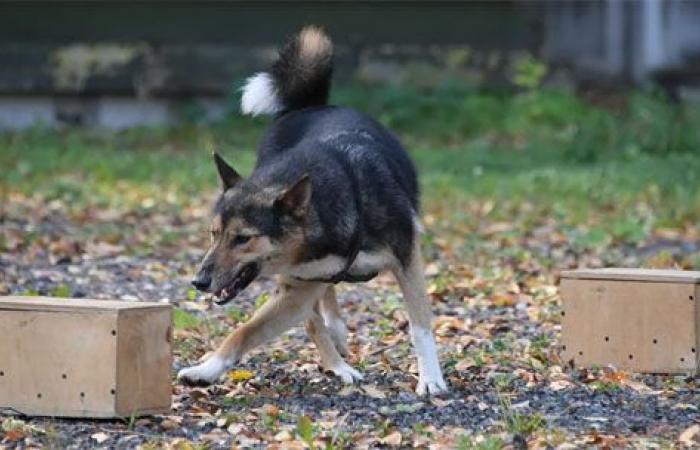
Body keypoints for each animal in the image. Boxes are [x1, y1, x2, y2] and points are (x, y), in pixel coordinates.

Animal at [176, 26, 448, 396]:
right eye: (213, 234)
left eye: (243, 238)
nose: (199, 281)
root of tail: (311, 105)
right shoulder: (298, 287)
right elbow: (244, 332)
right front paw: (206, 370)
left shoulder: (408, 261)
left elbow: (420, 325)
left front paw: (431, 379)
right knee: (316, 316)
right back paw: (336, 354)